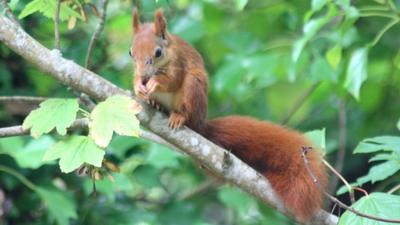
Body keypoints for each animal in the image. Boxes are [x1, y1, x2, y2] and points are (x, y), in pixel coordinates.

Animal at [130, 7, 326, 222]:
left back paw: (179, 116)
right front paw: (138, 87)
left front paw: (155, 83)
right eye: (130, 52)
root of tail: (201, 126)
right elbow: (136, 80)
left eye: (158, 52)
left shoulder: (179, 62)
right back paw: (154, 102)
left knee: (187, 108)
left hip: (194, 86)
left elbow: (172, 80)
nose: (144, 76)